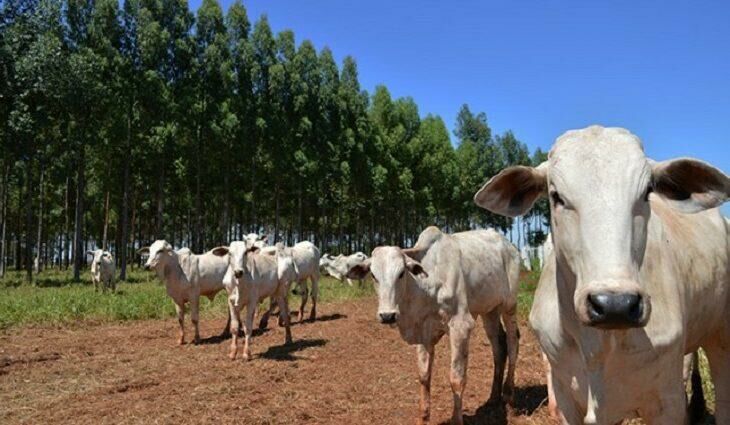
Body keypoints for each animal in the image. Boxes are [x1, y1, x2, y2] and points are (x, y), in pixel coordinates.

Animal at [346, 224, 516, 422]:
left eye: (401, 273)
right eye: (373, 275)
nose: (387, 315)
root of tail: (509, 245)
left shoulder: (461, 326)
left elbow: (456, 379)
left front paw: (457, 420)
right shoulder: (423, 333)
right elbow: (424, 375)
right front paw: (423, 417)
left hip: (509, 306)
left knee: (513, 342)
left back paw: (509, 394)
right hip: (490, 311)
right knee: (499, 347)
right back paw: (493, 397)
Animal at [472, 126, 728, 424]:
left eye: (647, 192)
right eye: (556, 196)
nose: (615, 305)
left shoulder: (668, 399)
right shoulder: (566, 394)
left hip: (721, 337)